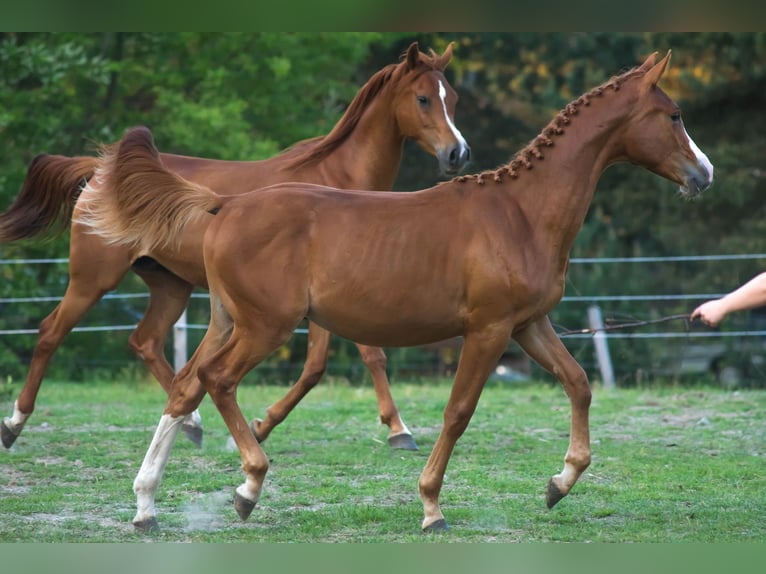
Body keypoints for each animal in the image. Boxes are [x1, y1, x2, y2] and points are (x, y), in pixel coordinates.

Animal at [0, 41, 470, 452]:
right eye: (424, 99)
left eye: (453, 99)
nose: (458, 154)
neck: (337, 180)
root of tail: (99, 171)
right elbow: (349, 360)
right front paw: (396, 429)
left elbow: (328, 364)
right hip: (93, 278)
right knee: (50, 333)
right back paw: (14, 424)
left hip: (170, 284)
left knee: (145, 341)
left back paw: (191, 422)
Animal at [78, 51, 713, 532]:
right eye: (674, 115)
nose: (703, 174)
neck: (520, 213)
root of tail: (226, 204)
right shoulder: (488, 330)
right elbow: (458, 412)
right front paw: (431, 505)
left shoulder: (529, 325)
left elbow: (579, 384)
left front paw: (560, 481)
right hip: (265, 327)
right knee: (217, 381)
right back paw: (247, 486)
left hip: (228, 321)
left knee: (186, 387)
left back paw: (146, 504)